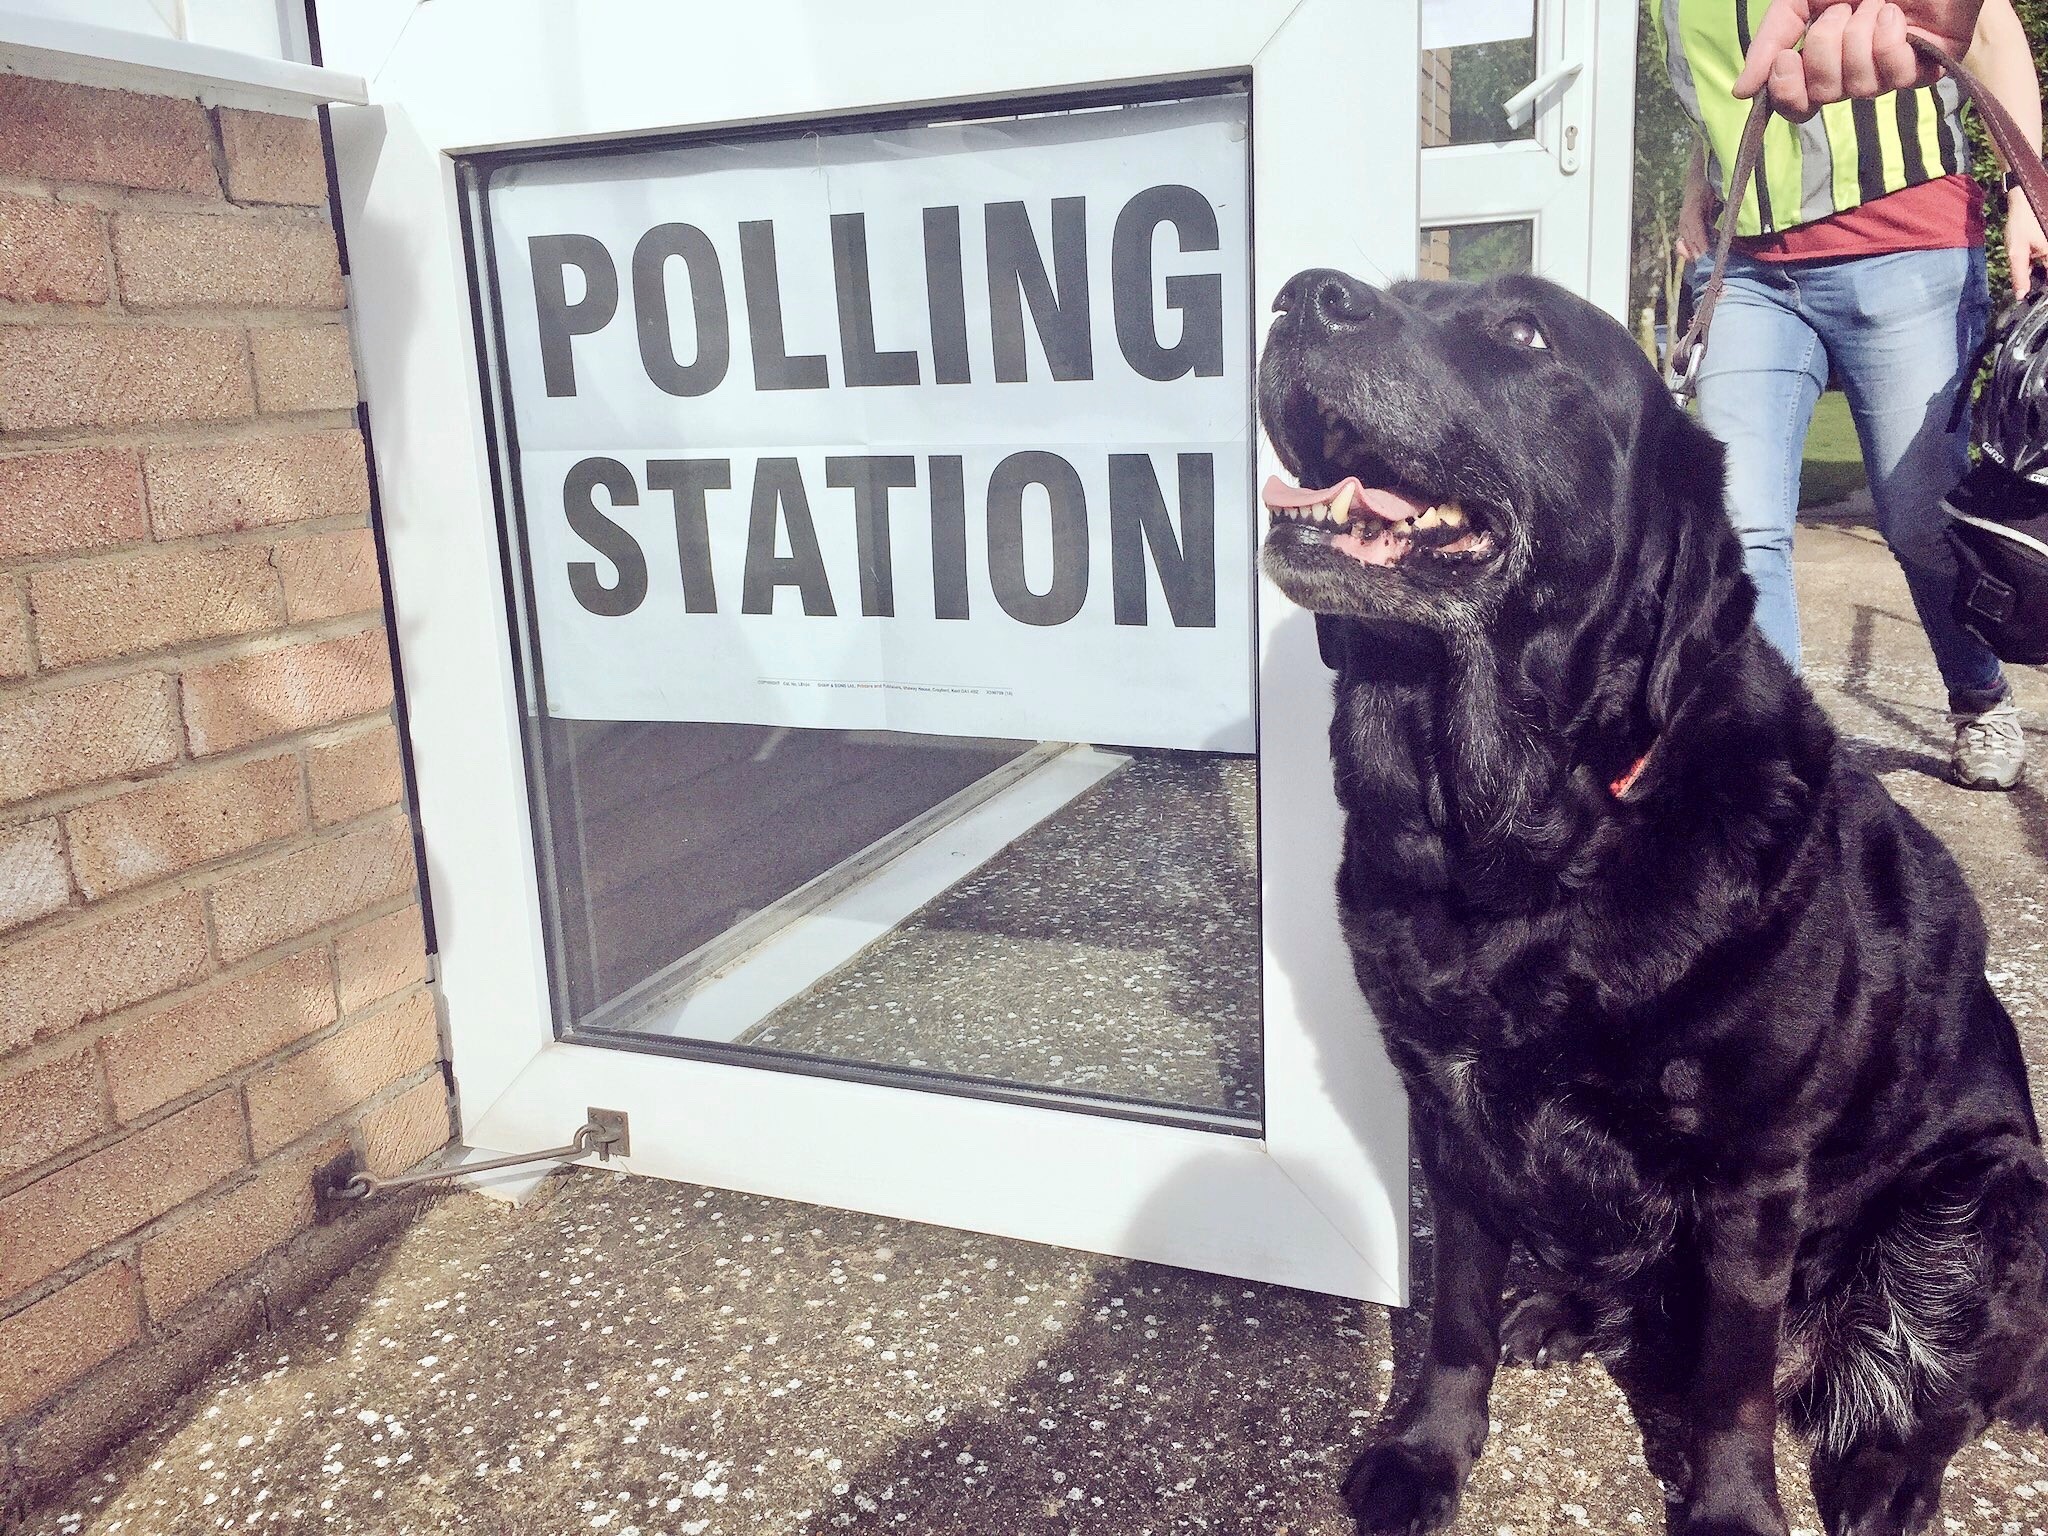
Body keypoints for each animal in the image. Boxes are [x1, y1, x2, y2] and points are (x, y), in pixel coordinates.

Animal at [1253, 268, 2048, 1536]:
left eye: (1520, 330)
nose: (1299, 294)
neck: (1521, 846)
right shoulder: (1449, 1114)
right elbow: (1453, 1318)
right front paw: (1426, 1450)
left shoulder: (1748, 1173)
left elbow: (1731, 1382)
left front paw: (1726, 1511)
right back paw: (1561, 1313)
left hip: (1983, 1200)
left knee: (1941, 1385)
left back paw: (1885, 1472)